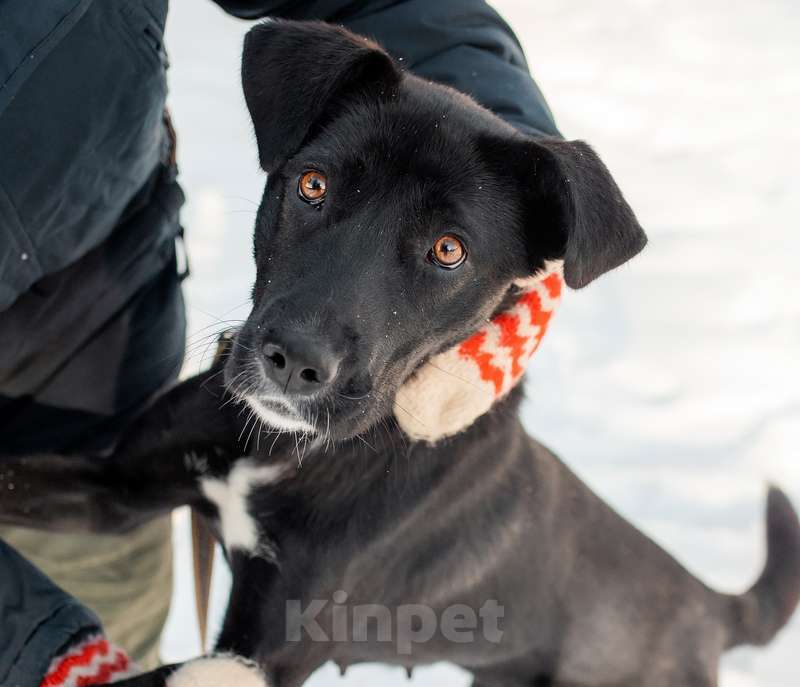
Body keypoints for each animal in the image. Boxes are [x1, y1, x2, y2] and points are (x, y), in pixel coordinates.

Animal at [1, 21, 800, 687]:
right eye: (313, 183)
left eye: (449, 250)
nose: (294, 362)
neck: (293, 452)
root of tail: (705, 606)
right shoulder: (116, 488)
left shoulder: (267, 652)